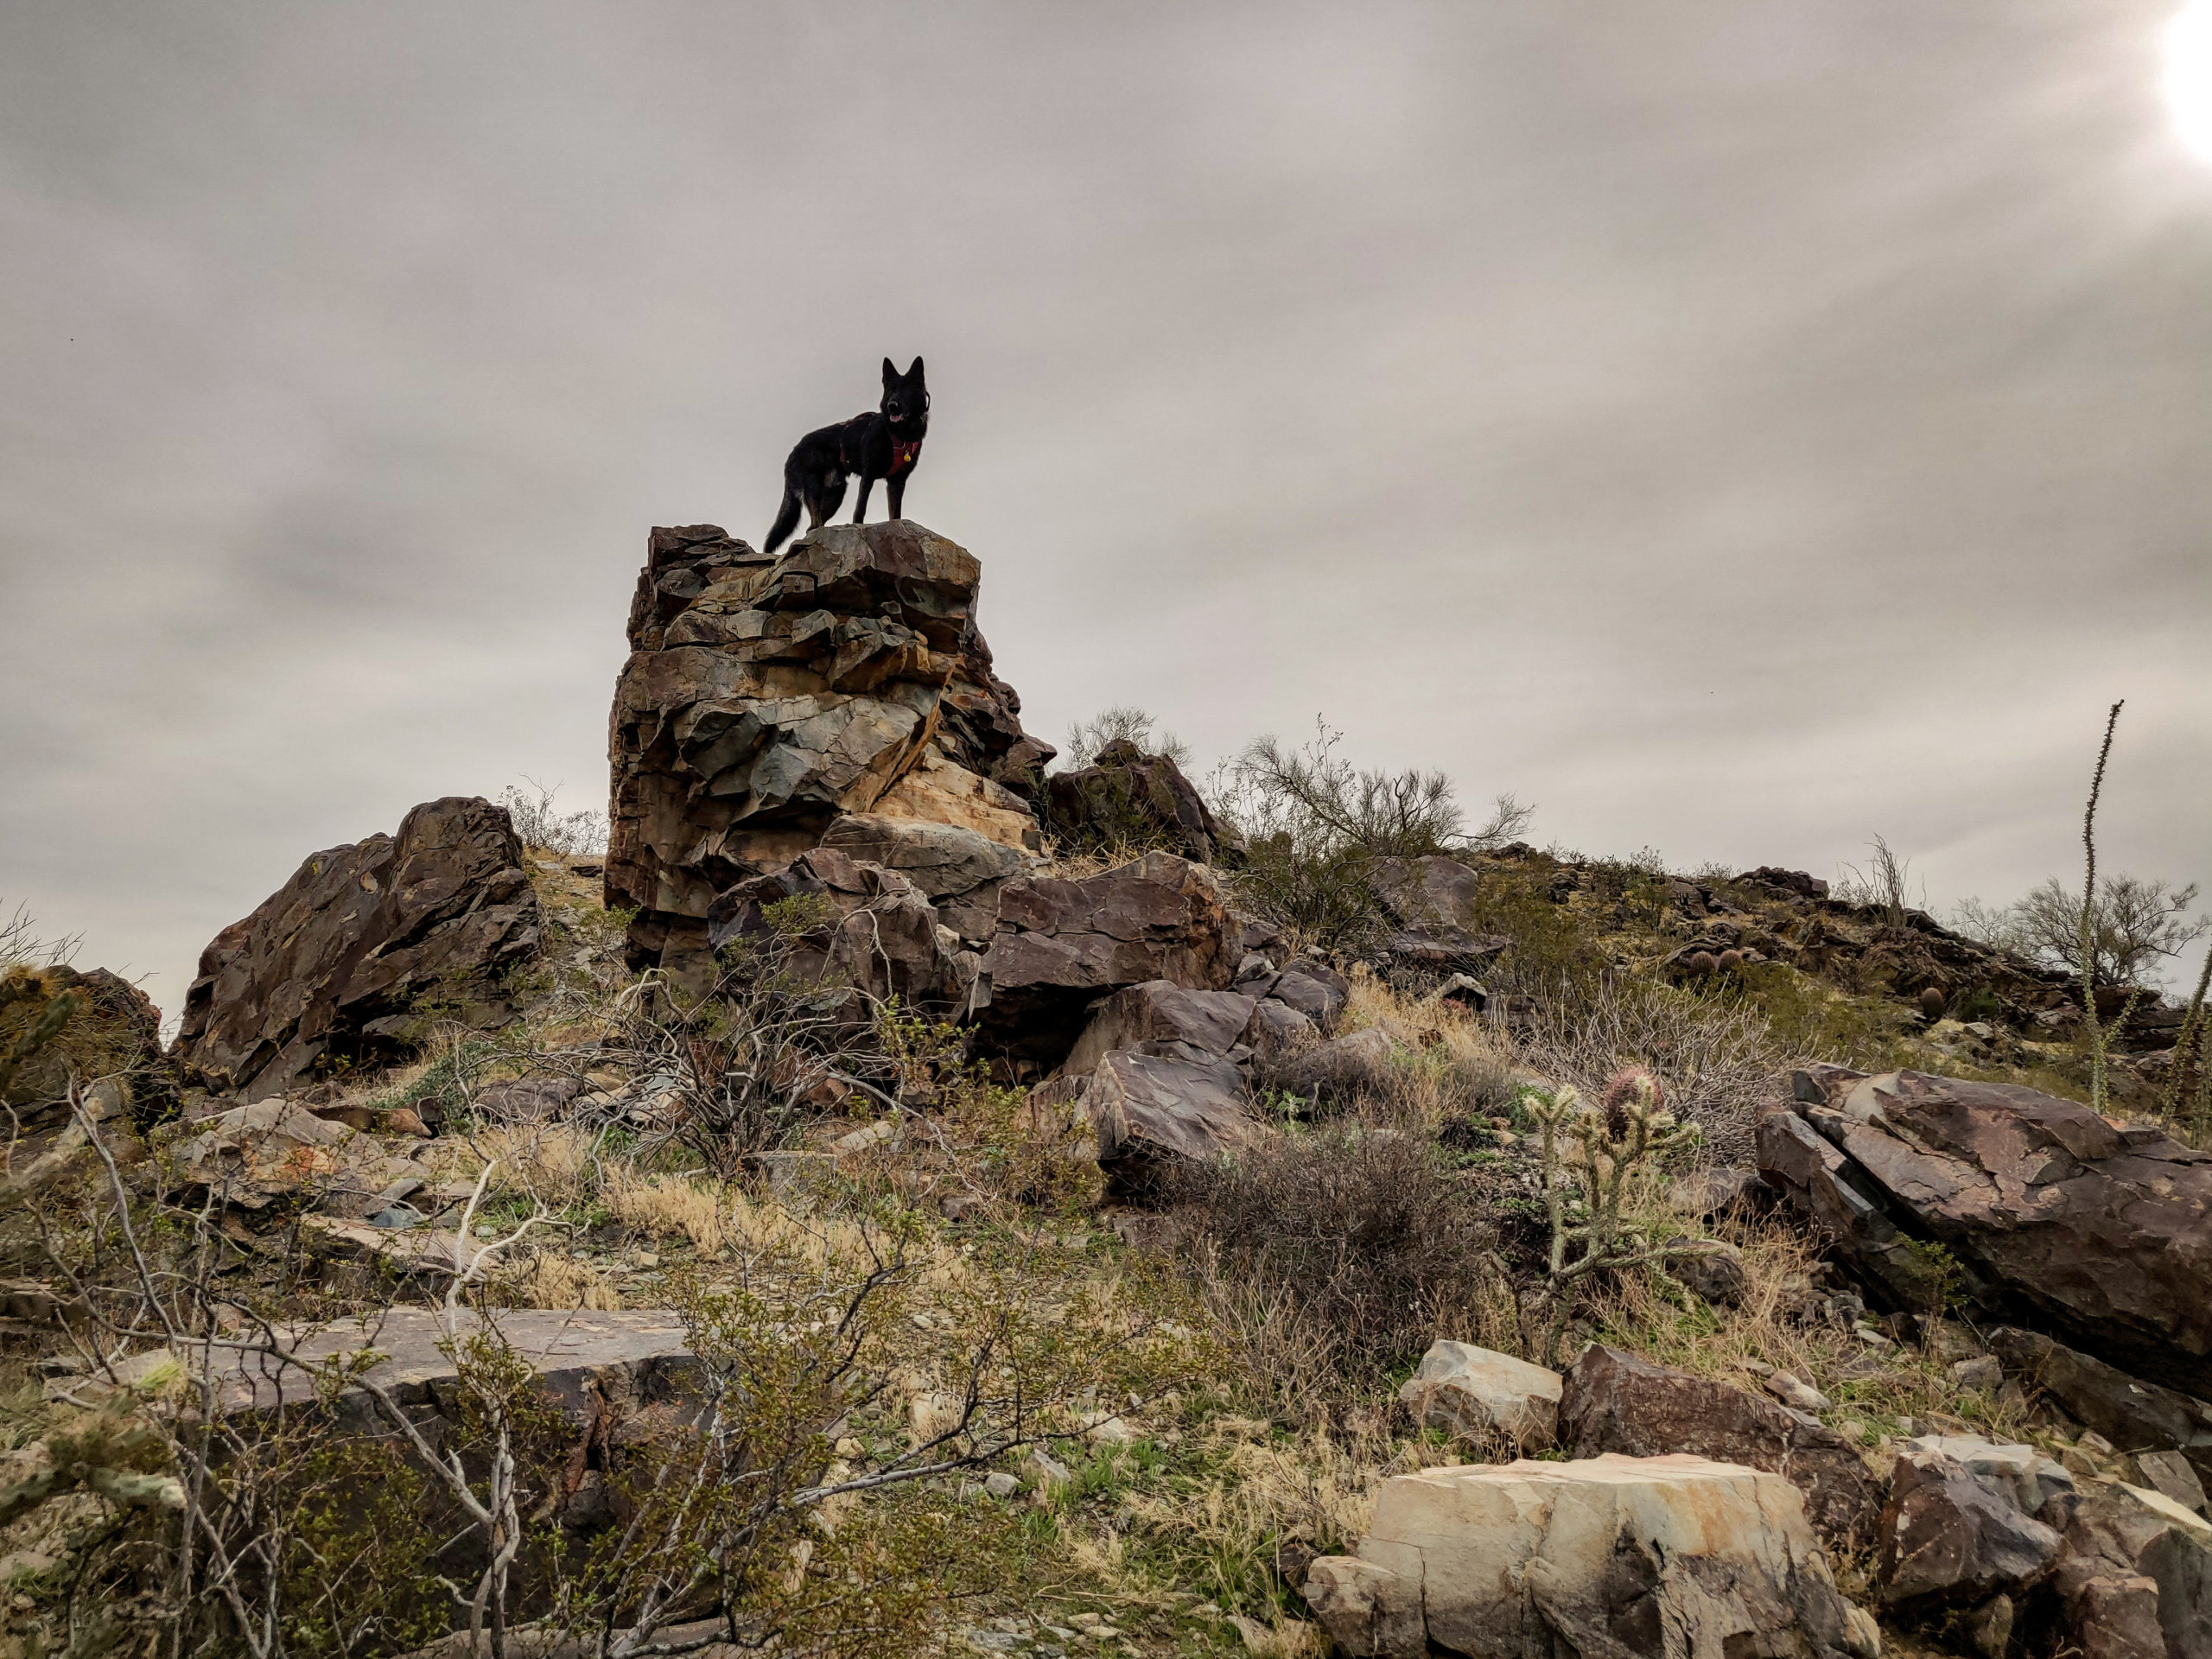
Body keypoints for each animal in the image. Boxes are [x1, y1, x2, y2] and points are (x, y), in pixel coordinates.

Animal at [765, 353, 929, 555]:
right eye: (891, 390)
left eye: (906, 390)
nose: (892, 406)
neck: (899, 434)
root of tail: (796, 449)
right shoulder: (868, 476)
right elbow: (860, 510)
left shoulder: (897, 482)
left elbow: (895, 514)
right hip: (814, 488)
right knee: (814, 524)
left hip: (835, 494)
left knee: (811, 527)